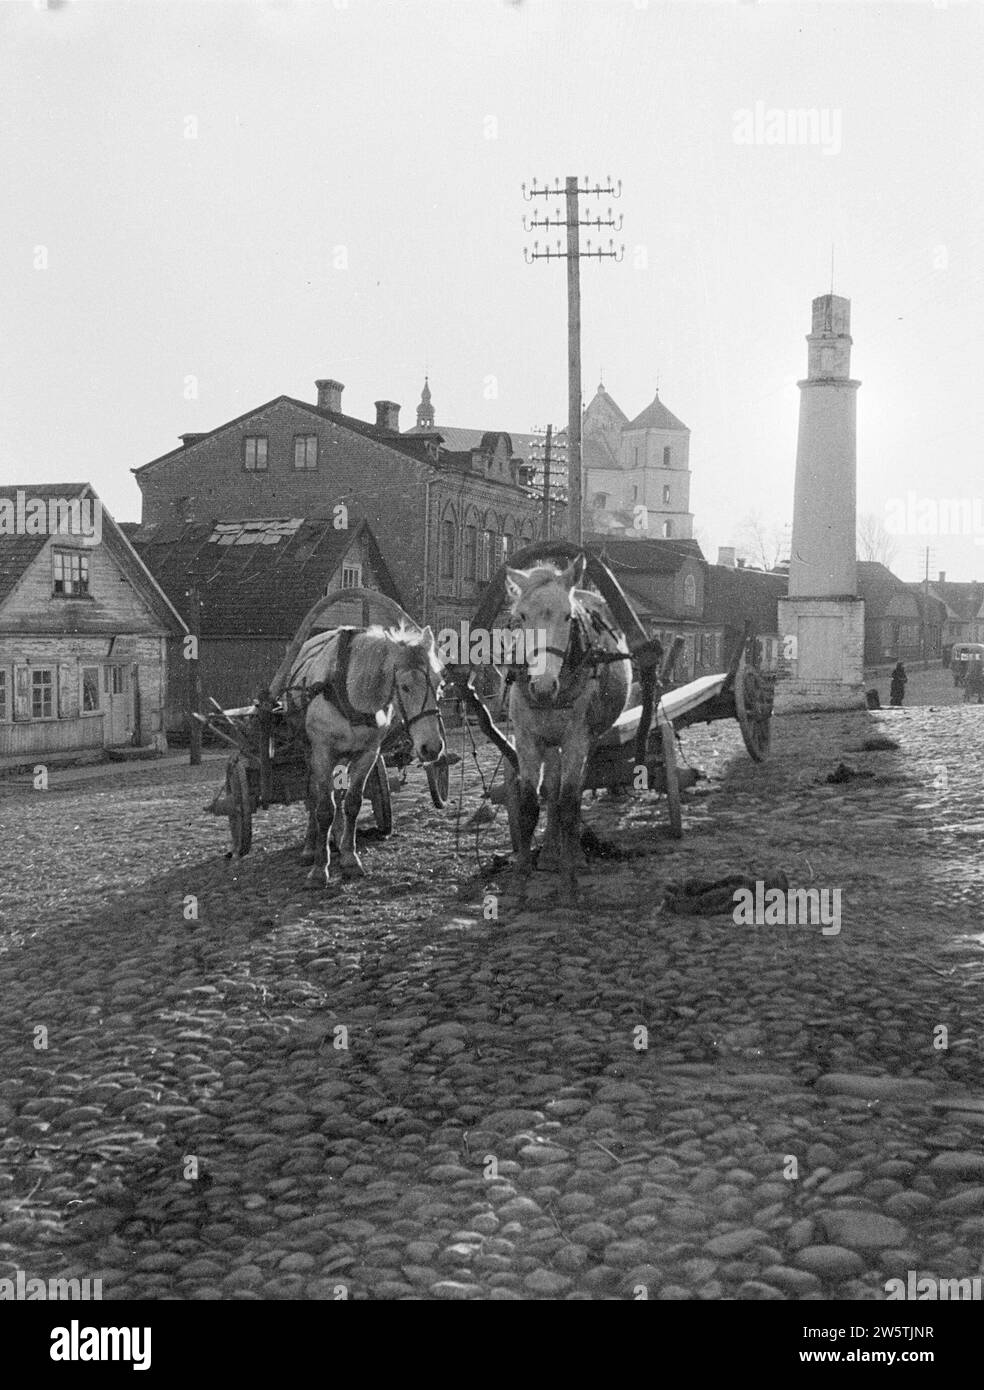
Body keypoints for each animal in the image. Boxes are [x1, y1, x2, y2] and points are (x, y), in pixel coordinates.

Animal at [280, 625, 441, 884]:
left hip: (344, 756)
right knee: (313, 795)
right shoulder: (323, 752)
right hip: (309, 751)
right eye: (405, 686)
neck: (349, 690)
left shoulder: (368, 753)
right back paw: (311, 846)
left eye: (439, 683)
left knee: (337, 795)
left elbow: (352, 803)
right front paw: (319, 868)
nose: (432, 747)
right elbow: (323, 808)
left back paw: (336, 837)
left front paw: (349, 857)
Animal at [503, 556, 633, 900]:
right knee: (552, 788)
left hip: (589, 737)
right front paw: (520, 880)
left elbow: (570, 802)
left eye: (567, 616)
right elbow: (530, 805)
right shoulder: (527, 739)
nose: (543, 687)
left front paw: (570, 880)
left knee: (570, 793)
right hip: (550, 741)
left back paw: (572, 854)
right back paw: (550, 853)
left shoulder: (576, 739)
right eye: (522, 616)